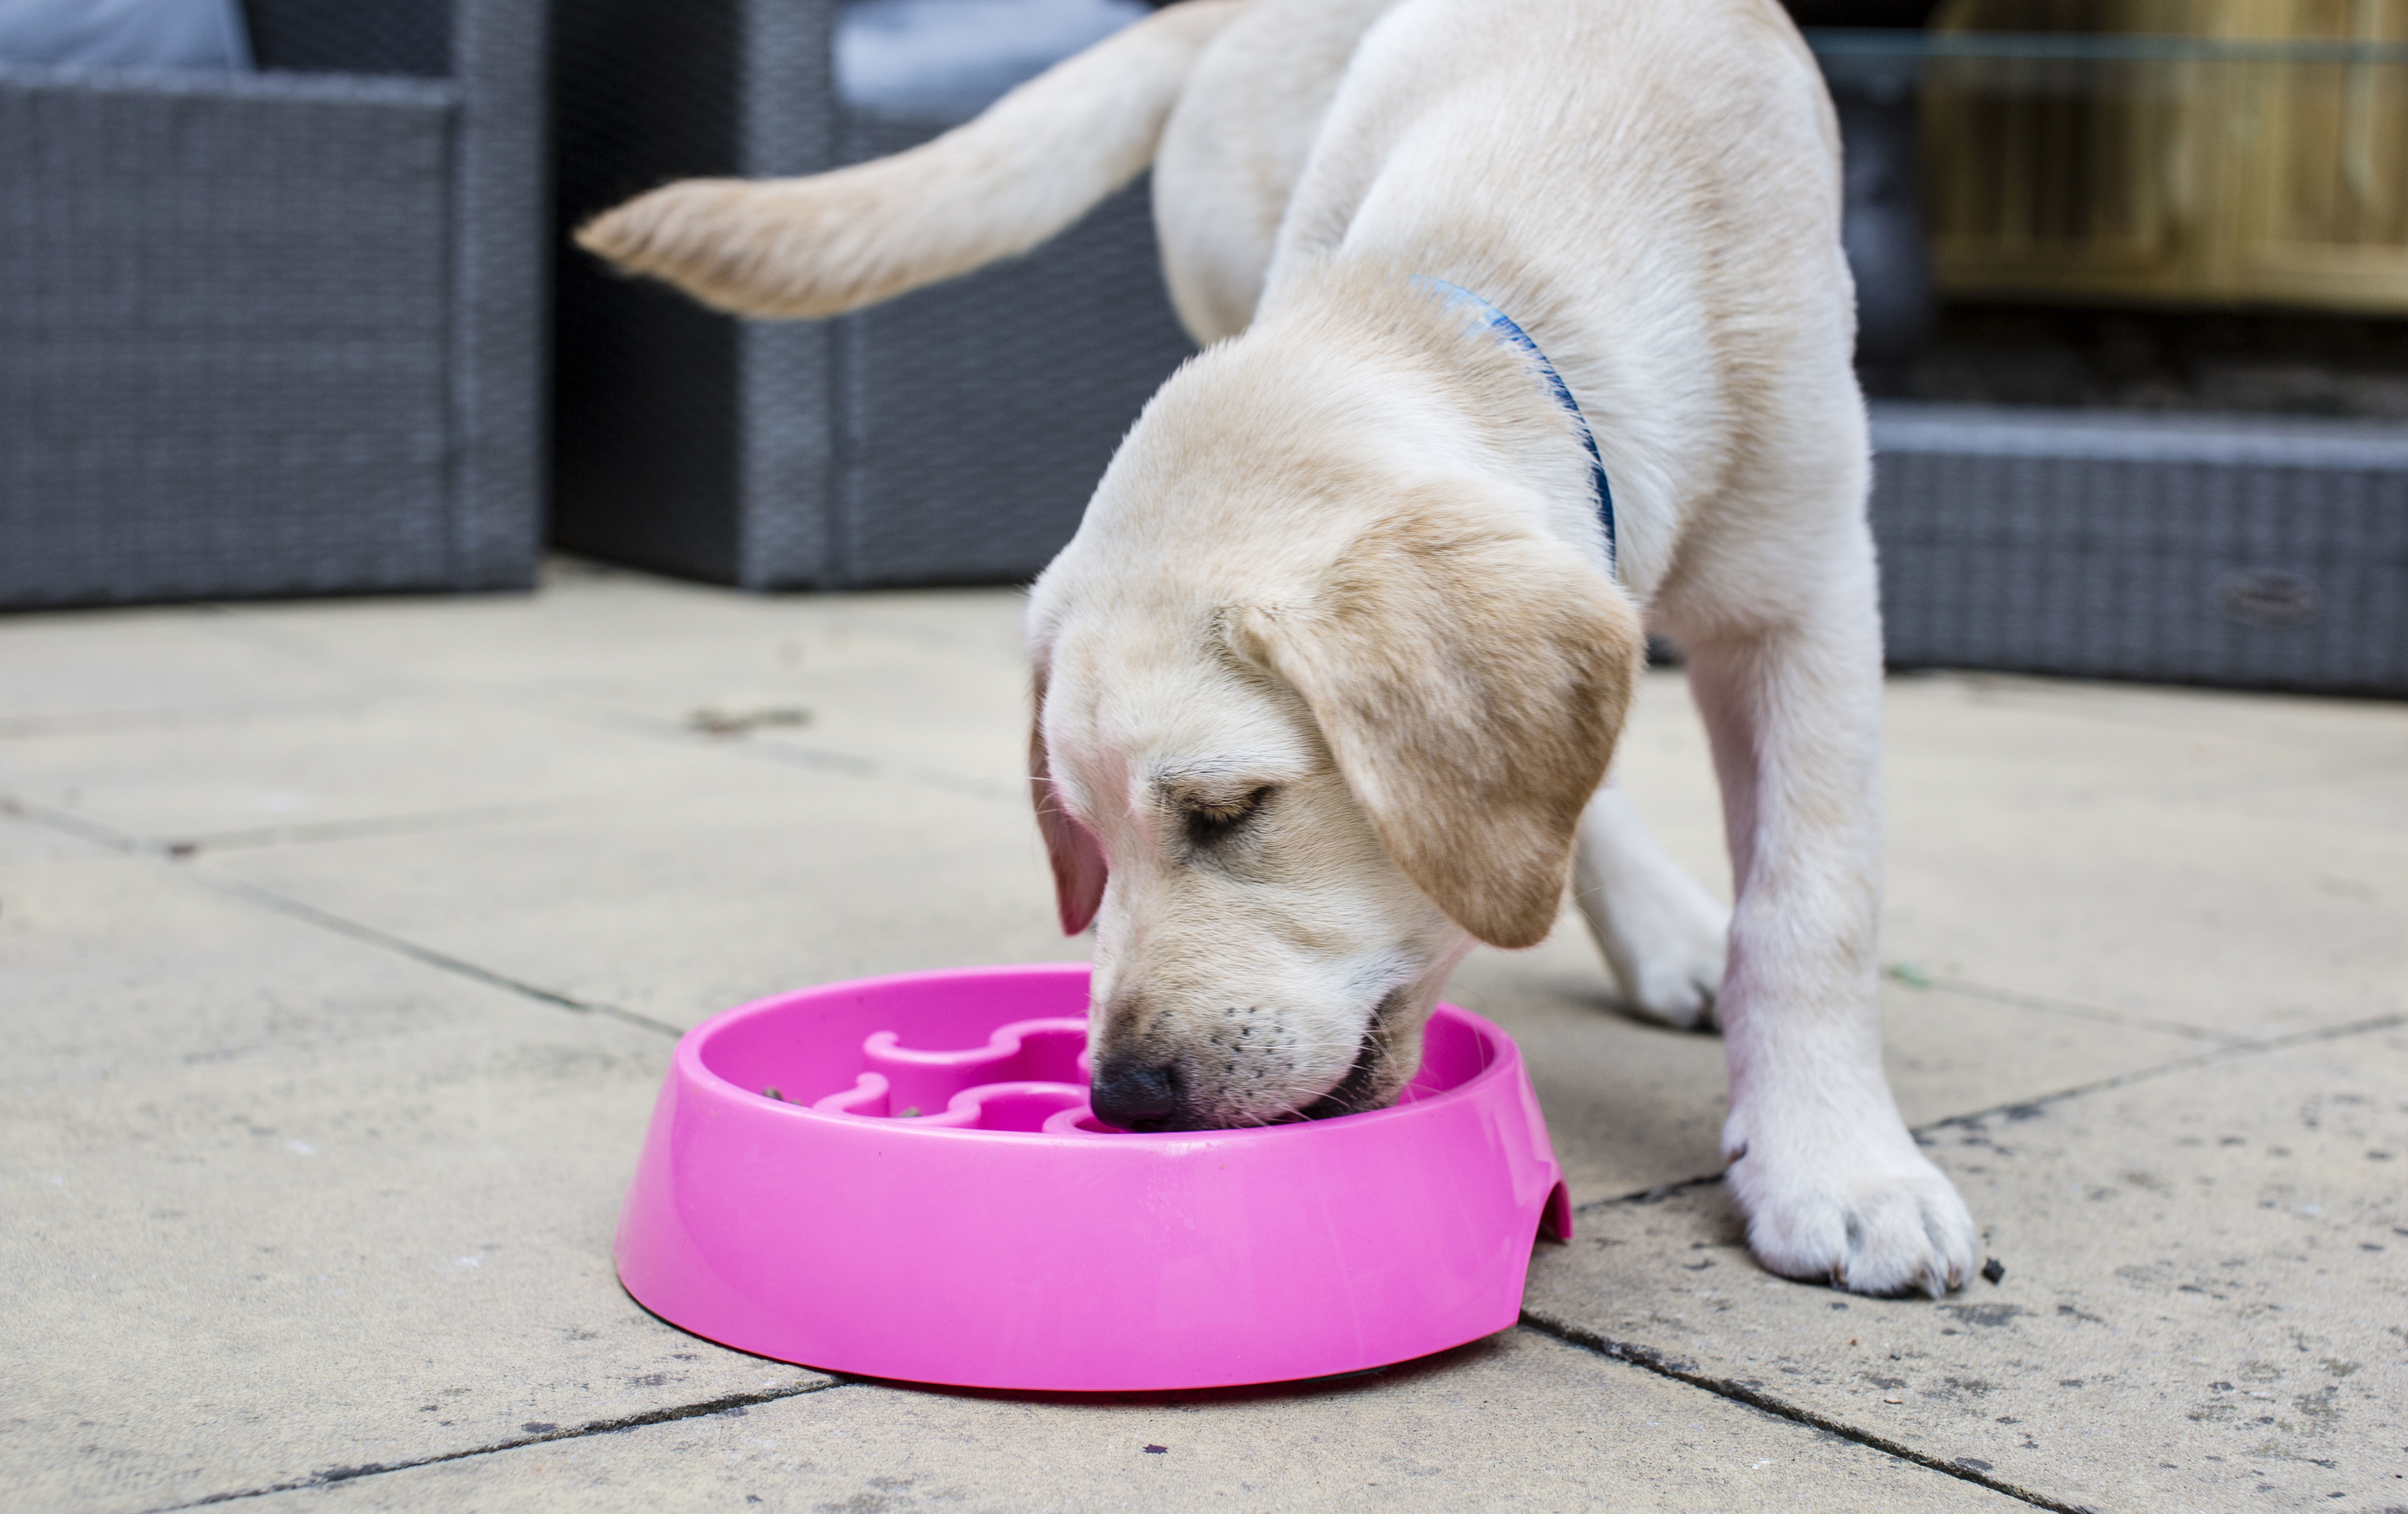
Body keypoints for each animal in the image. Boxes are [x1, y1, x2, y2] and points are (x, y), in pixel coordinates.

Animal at [583, 0, 1974, 1290]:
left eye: (1230, 808)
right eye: (1085, 832)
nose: (1124, 1097)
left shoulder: (1810, 590)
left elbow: (1812, 900)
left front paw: (1837, 1166)